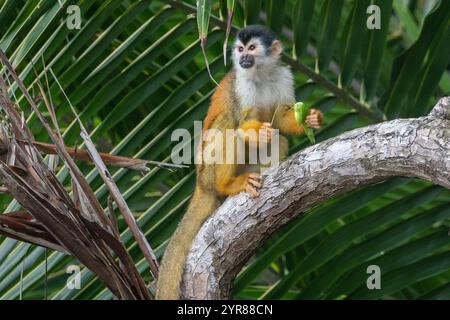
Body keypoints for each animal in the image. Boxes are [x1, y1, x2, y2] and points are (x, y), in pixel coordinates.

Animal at [156, 25, 322, 300]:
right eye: (240, 49)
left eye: (252, 48)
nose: (244, 57)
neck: (261, 74)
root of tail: (200, 183)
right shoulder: (240, 85)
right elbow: (243, 121)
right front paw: (256, 132)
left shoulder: (283, 75)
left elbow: (281, 118)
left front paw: (310, 119)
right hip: (208, 170)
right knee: (228, 129)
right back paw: (228, 184)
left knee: (278, 139)